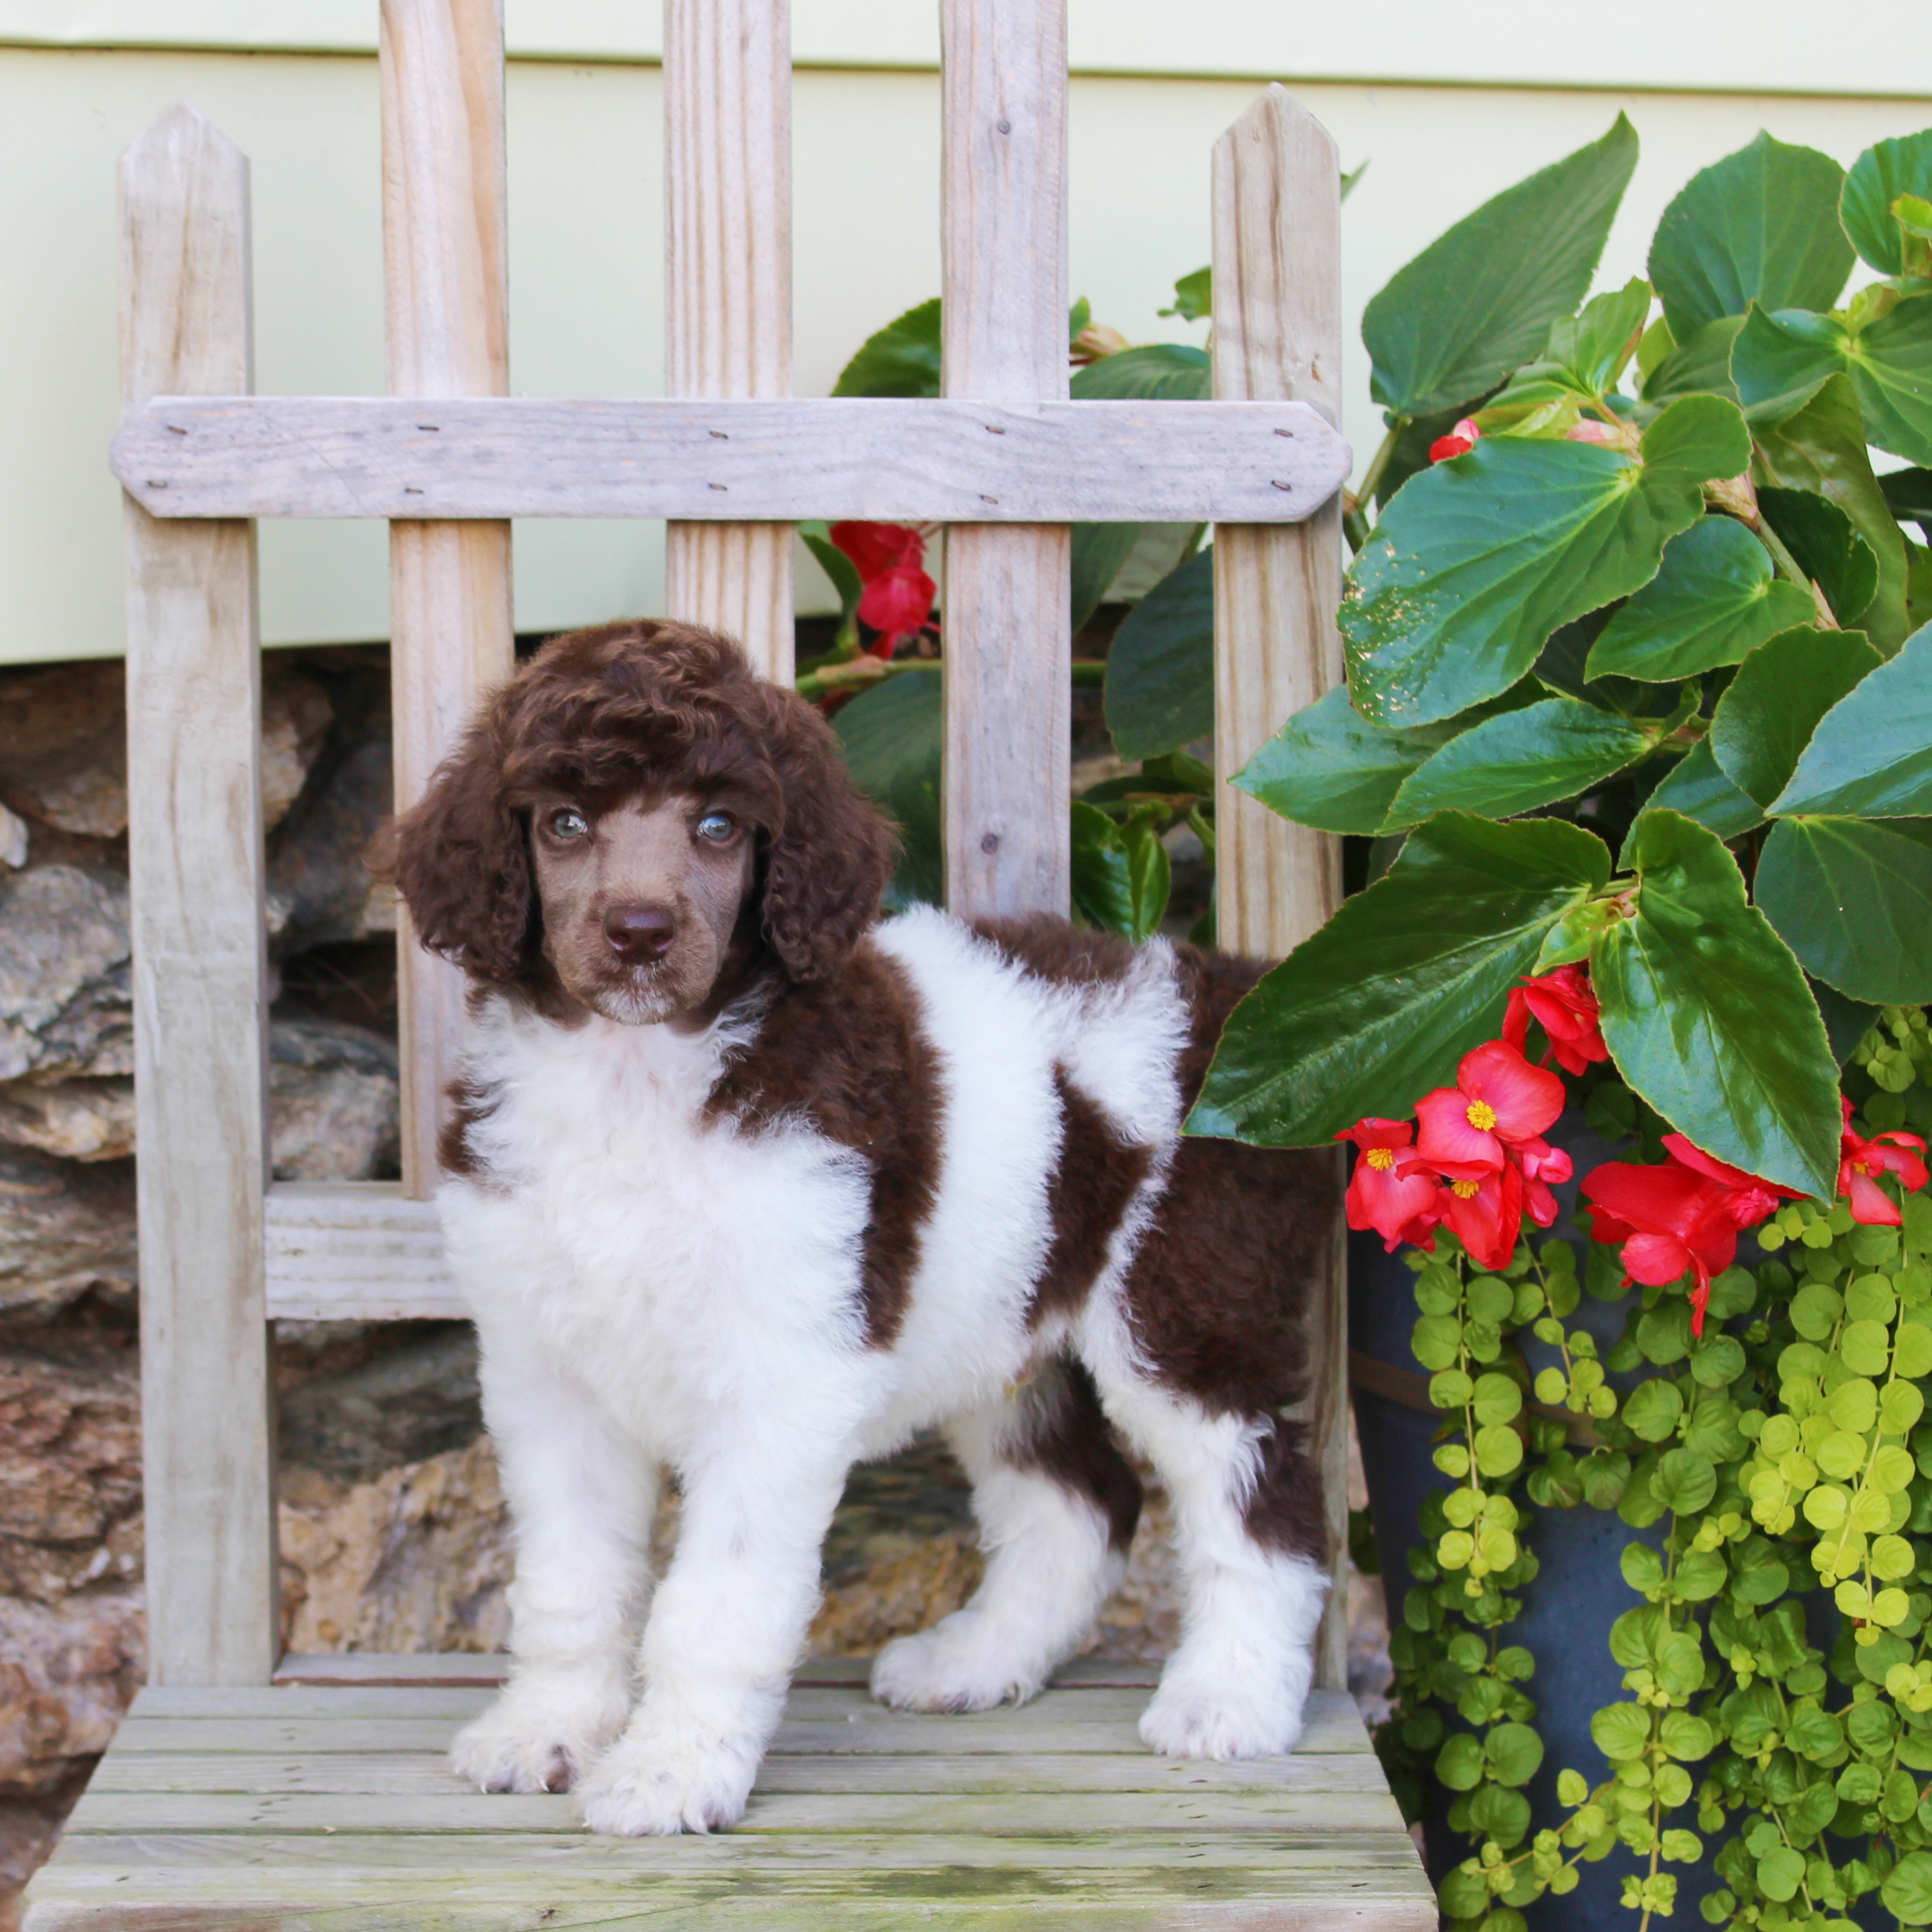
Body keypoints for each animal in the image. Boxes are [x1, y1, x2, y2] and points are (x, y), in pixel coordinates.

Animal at [386, 622, 1336, 1839]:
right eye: (561, 822)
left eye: (718, 825)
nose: (640, 933)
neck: (639, 1075)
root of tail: (1231, 990)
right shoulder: (547, 1373)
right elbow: (569, 1578)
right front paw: (545, 1727)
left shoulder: (782, 1373)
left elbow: (716, 1602)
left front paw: (670, 1770)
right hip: (1007, 1316)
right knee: (1077, 1503)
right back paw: (976, 1662)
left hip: (1183, 1308)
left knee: (1259, 1505)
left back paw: (1229, 1700)